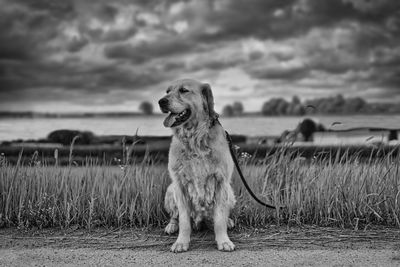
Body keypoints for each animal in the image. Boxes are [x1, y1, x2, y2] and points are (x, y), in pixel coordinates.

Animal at [159, 78, 236, 253]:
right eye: (167, 91)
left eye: (183, 90)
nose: (161, 102)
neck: (195, 139)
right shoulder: (180, 184)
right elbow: (184, 220)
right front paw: (181, 242)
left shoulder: (221, 182)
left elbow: (219, 218)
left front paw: (224, 241)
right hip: (170, 190)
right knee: (174, 216)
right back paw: (171, 226)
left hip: (230, 192)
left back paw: (228, 221)